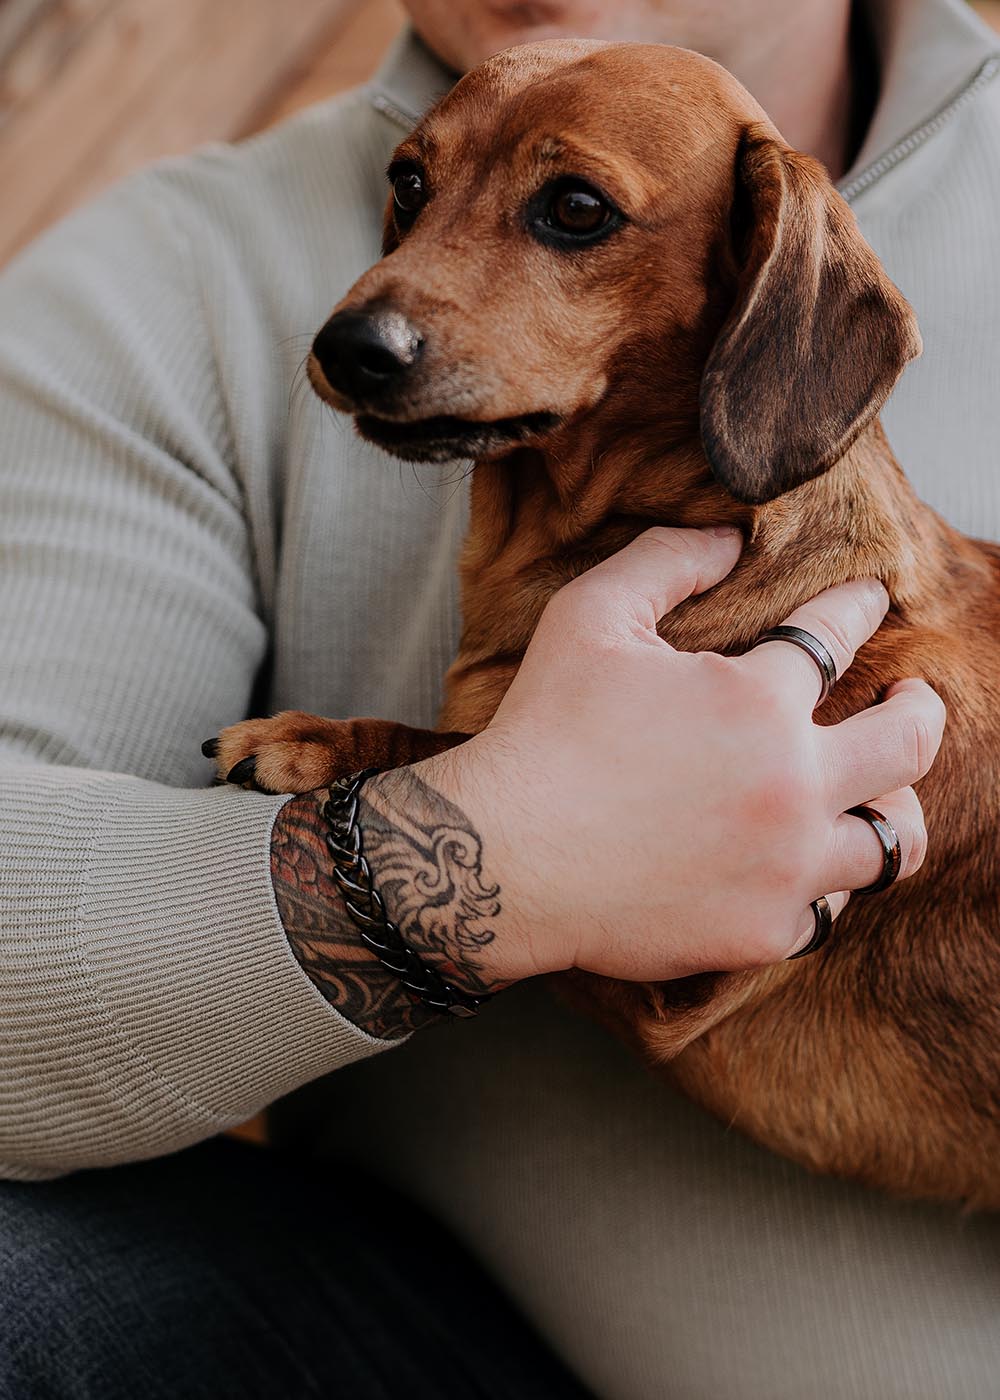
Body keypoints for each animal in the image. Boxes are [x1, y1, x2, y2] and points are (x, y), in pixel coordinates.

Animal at [214, 40, 997, 1204]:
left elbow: (440, 746)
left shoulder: (684, 974)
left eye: (576, 208)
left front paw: (314, 741)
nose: (347, 346)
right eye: (409, 182)